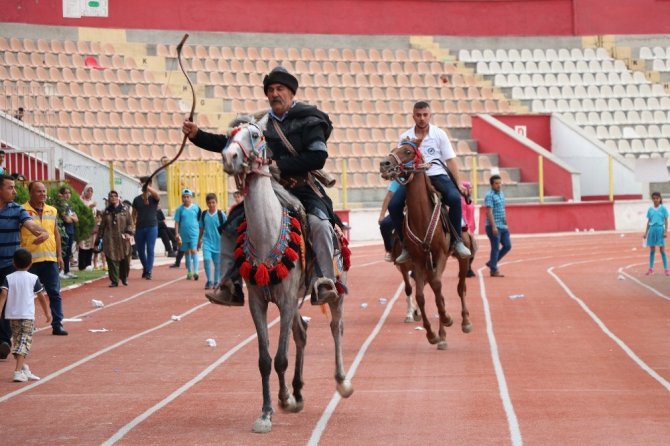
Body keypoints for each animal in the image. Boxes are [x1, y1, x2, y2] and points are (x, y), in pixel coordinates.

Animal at [223, 122, 354, 432]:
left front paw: (281, 402)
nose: (229, 157)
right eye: (227, 136)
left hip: (335, 290)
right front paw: (269, 410)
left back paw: (342, 382)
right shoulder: (259, 302)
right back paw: (297, 391)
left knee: (336, 327)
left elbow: (281, 358)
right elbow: (265, 359)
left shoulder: (284, 301)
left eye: (255, 135)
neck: (266, 234)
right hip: (295, 299)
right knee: (302, 333)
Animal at [384, 139, 472, 348]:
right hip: (426, 264)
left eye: (407, 151)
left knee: (460, 287)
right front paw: (432, 334)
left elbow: (439, 287)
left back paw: (464, 322)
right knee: (433, 289)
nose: (385, 164)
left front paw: (447, 319)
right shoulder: (417, 260)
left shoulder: (440, 255)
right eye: (393, 149)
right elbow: (421, 295)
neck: (422, 217)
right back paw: (441, 335)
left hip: (462, 259)